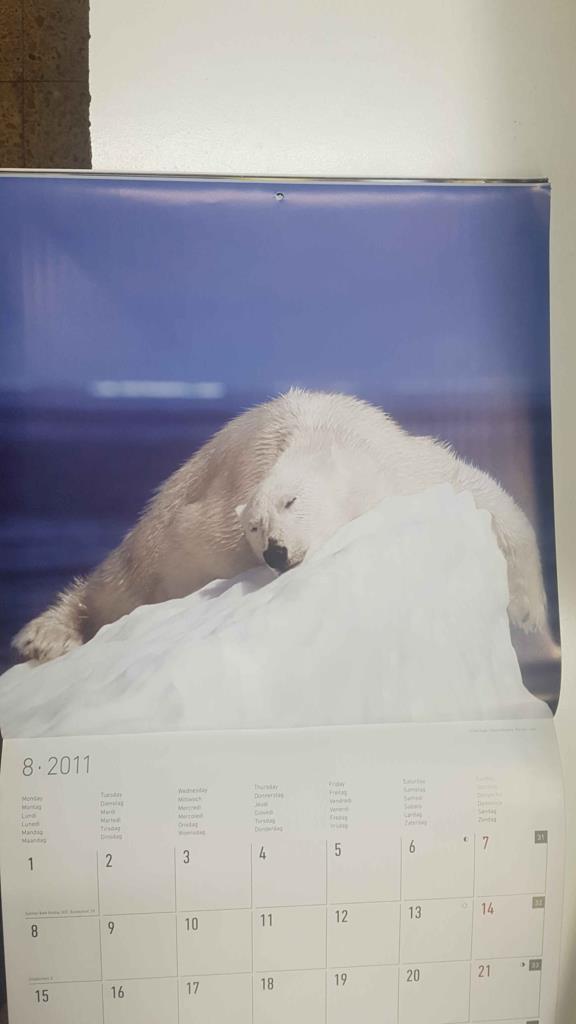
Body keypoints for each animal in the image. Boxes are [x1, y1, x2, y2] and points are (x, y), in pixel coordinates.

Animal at [12, 388, 547, 664]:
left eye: (292, 501)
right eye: (254, 526)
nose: (275, 551)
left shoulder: (408, 468)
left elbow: (487, 494)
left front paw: (528, 612)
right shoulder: (204, 526)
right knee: (118, 576)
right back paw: (43, 636)